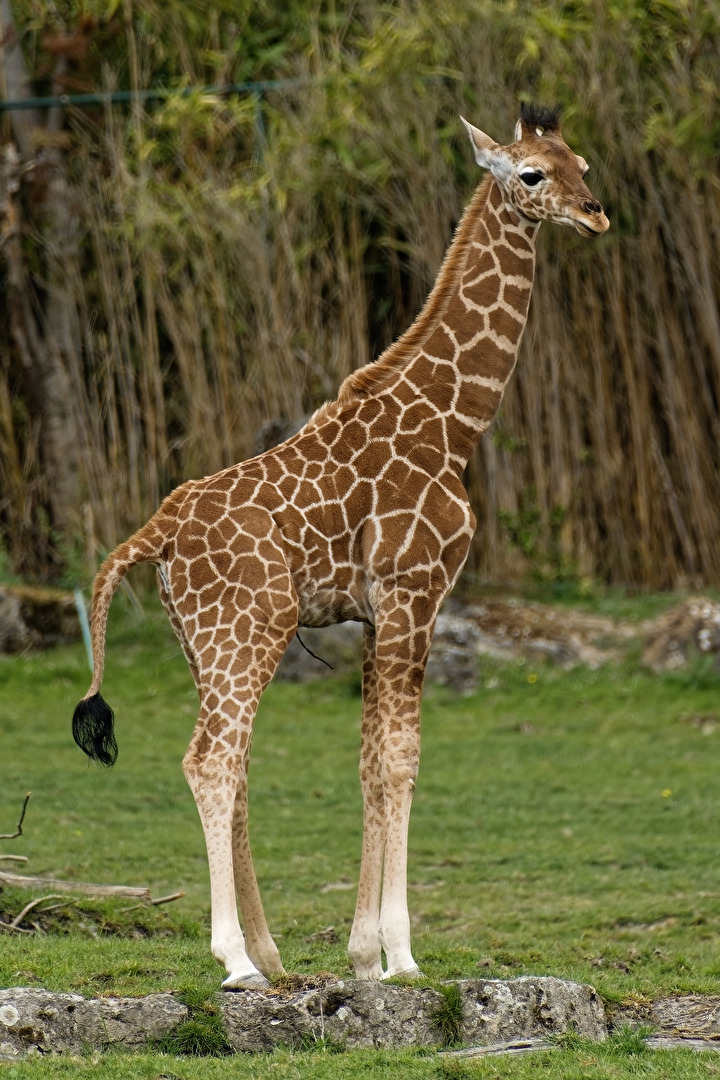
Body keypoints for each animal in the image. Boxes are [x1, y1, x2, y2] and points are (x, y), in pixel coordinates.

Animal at [72, 103, 609, 989]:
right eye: (532, 174)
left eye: (583, 164)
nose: (595, 214)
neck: (452, 423)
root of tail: (154, 535)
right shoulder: (415, 591)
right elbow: (401, 760)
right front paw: (400, 955)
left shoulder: (372, 611)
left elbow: (366, 763)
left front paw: (363, 956)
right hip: (248, 631)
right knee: (210, 761)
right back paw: (236, 961)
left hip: (204, 640)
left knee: (235, 764)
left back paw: (269, 953)